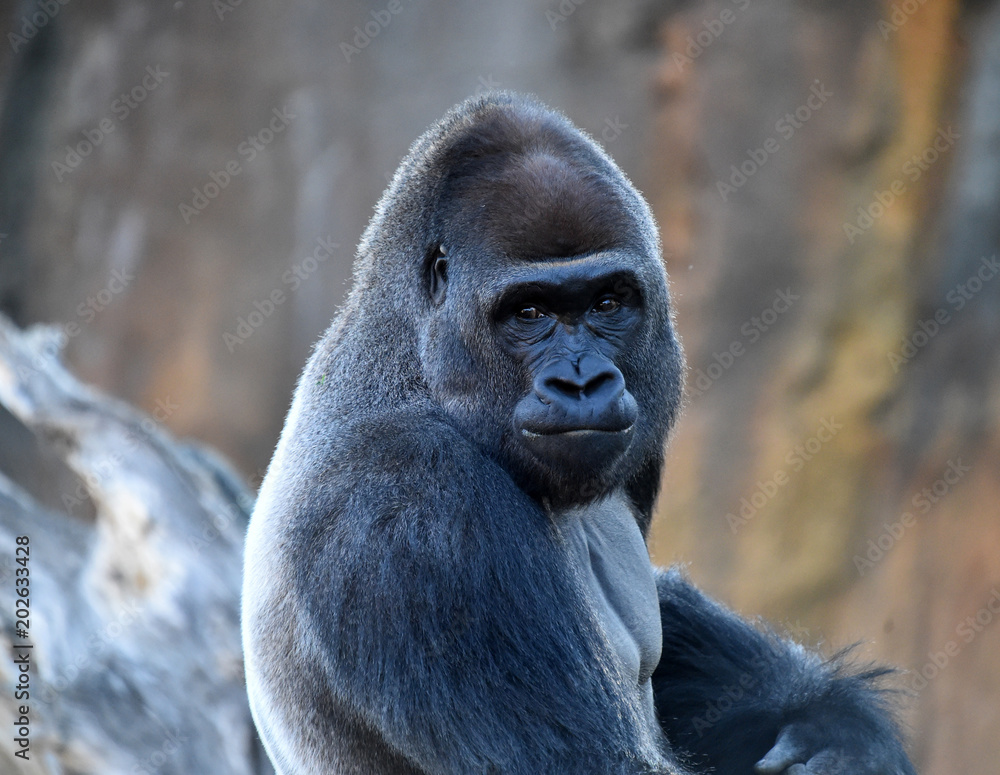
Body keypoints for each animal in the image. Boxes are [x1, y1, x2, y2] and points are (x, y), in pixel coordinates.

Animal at [242, 92, 915, 775]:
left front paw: (831, 720)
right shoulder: (412, 499)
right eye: (529, 312)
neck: (415, 366)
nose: (583, 382)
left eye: (608, 303)